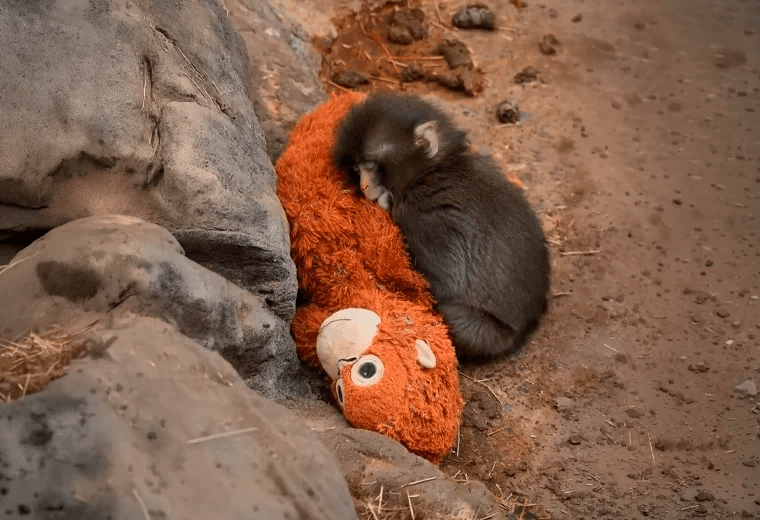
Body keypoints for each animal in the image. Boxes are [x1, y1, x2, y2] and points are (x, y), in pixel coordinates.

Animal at [332, 92, 550, 360]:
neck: (430, 171)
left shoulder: (425, 216)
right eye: (357, 168)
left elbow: (445, 285)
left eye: (371, 166)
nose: (364, 185)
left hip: (486, 334)